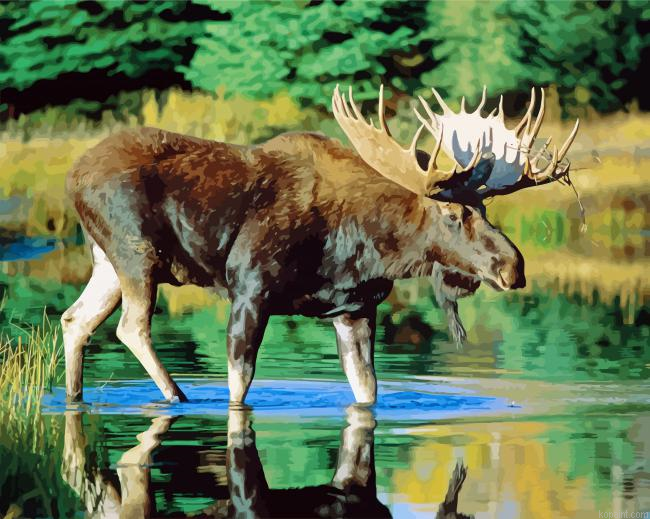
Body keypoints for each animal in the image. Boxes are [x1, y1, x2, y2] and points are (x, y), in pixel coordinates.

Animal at [61, 83, 576, 407]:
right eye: (453, 214)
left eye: (485, 209)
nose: (513, 266)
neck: (365, 247)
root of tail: (73, 175)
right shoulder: (249, 288)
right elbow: (238, 387)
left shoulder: (355, 309)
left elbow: (367, 392)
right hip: (135, 252)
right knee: (130, 326)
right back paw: (176, 397)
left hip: (107, 262)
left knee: (75, 319)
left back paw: (75, 398)